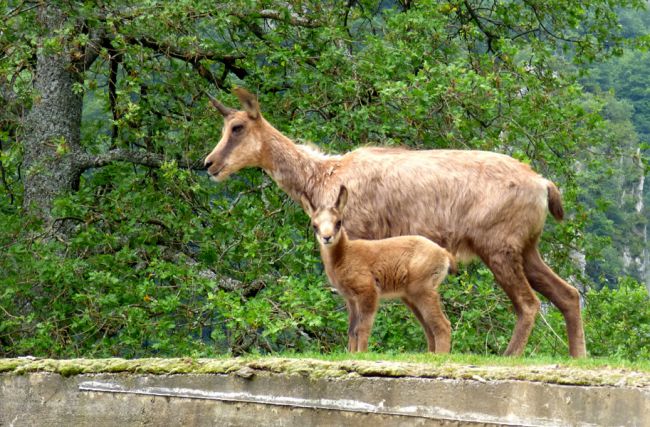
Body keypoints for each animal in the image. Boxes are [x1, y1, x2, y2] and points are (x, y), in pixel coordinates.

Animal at [302, 186, 454, 352]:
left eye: (338, 222)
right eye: (314, 225)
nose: (327, 237)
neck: (344, 256)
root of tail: (445, 254)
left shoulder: (369, 290)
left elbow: (362, 328)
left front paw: (361, 353)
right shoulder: (350, 298)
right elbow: (351, 329)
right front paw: (351, 353)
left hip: (422, 289)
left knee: (443, 324)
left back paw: (440, 355)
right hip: (410, 295)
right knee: (428, 326)